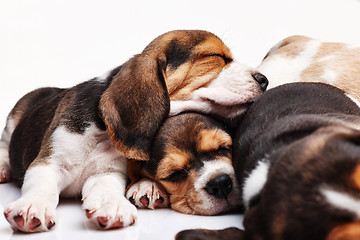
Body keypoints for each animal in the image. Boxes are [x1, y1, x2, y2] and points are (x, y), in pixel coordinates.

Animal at [0, 30, 268, 232]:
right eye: (216, 57)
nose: (264, 80)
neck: (101, 133)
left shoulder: (107, 171)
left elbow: (106, 187)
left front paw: (111, 205)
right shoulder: (50, 162)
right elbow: (41, 184)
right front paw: (32, 207)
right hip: (14, 118)